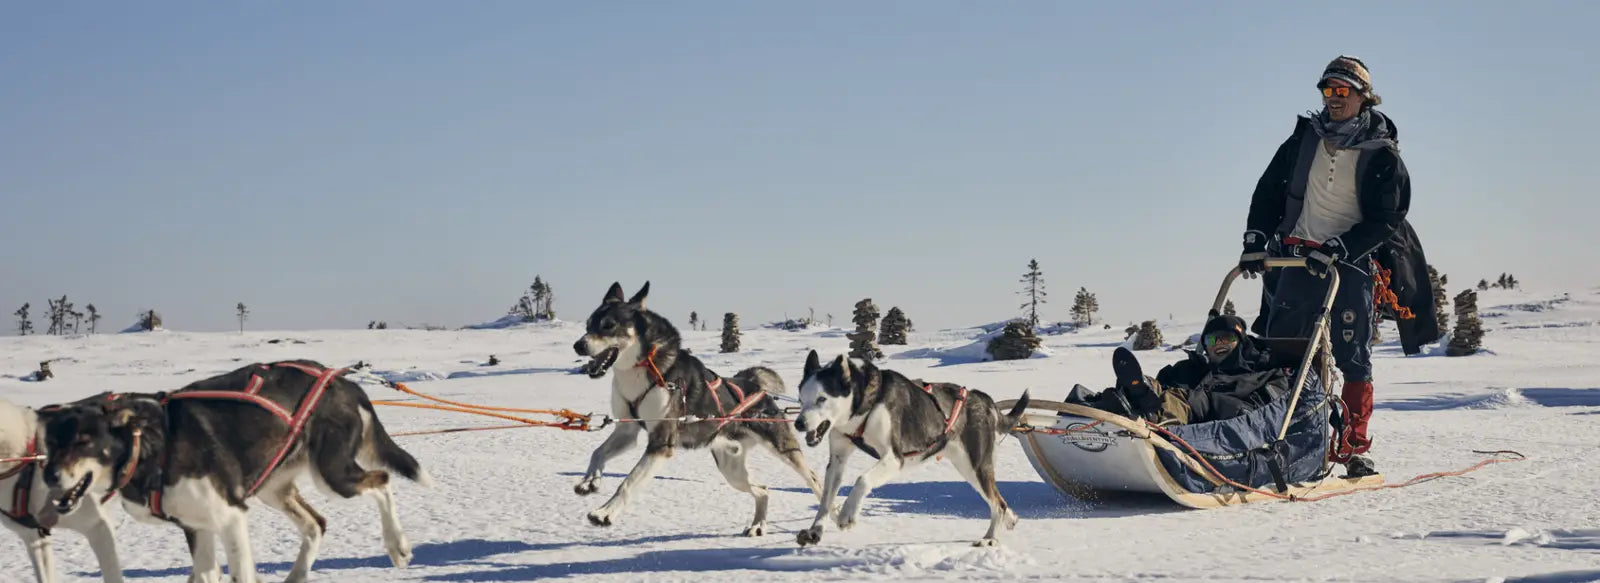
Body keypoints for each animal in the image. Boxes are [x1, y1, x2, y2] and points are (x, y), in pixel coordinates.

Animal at [39, 360, 432, 583]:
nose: (49, 476)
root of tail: (342, 382)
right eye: (51, 443)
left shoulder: (230, 517)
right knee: (316, 525)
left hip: (333, 476)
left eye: (84, 441)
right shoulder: (197, 527)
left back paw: (398, 545)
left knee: (382, 482)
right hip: (273, 489)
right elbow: (205, 573)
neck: (152, 446)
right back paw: (296, 576)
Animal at [572, 280, 825, 534]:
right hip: (731, 470)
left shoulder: (662, 443)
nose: (578, 345)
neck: (643, 367)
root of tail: (755, 387)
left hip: (782, 449)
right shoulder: (627, 430)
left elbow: (628, 482)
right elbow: (598, 452)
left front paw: (604, 512)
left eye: (608, 325)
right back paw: (757, 525)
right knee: (762, 489)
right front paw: (590, 481)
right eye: (588, 325)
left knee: (814, 480)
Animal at [793, 350, 1030, 547]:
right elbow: (826, 499)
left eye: (822, 398)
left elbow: (862, 480)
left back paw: (990, 538)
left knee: (997, 503)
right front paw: (815, 531)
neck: (866, 405)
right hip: (967, 468)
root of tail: (983, 399)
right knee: (1000, 502)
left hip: (976, 466)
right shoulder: (838, 459)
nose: (799, 424)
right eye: (801, 399)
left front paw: (847, 516)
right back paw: (1010, 519)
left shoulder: (895, 458)